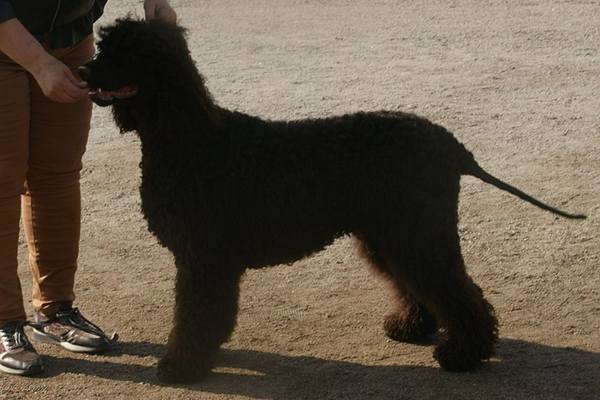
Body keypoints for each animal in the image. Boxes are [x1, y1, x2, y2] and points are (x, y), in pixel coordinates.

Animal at [79, 19, 584, 384]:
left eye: (126, 52)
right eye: (103, 46)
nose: (82, 71)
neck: (188, 137)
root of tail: (452, 146)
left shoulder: (204, 260)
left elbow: (196, 319)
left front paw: (179, 367)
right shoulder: (204, 260)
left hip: (416, 232)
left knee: (460, 293)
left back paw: (462, 355)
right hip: (391, 234)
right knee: (418, 285)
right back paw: (411, 328)